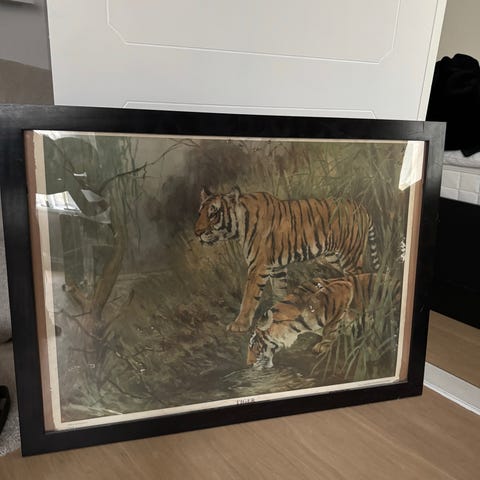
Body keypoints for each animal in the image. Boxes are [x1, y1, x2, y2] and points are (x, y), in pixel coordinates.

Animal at [194, 186, 378, 332]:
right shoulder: (277, 268)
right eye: (200, 213)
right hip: (334, 257)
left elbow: (249, 297)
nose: (197, 233)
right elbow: (279, 291)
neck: (239, 227)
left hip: (350, 256)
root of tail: (363, 207)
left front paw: (239, 325)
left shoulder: (258, 266)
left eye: (213, 214)